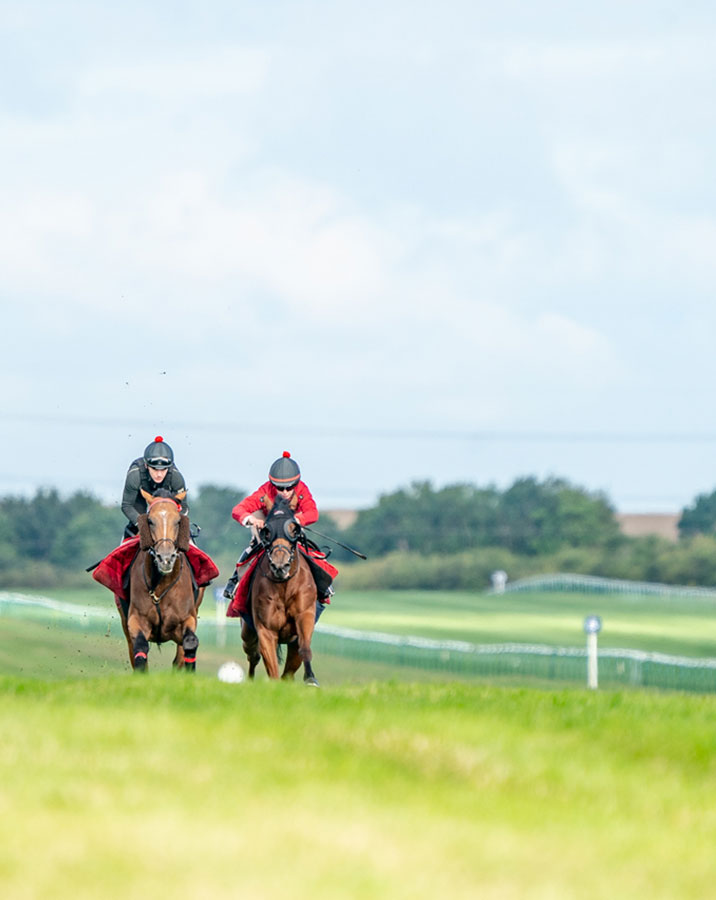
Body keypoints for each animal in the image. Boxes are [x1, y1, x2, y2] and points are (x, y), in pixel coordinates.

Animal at [121, 488, 203, 672]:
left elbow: (190, 643)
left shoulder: (188, 618)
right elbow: (140, 647)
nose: (165, 559)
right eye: (150, 521)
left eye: (178, 521)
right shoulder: (136, 620)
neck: (160, 585)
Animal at [242, 500, 318, 684]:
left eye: (294, 530)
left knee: (289, 670)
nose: (280, 566)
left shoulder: (305, 615)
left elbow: (305, 648)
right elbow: (272, 667)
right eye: (267, 531)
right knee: (253, 656)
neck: (284, 587)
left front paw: (311, 679)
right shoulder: (265, 630)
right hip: (247, 633)